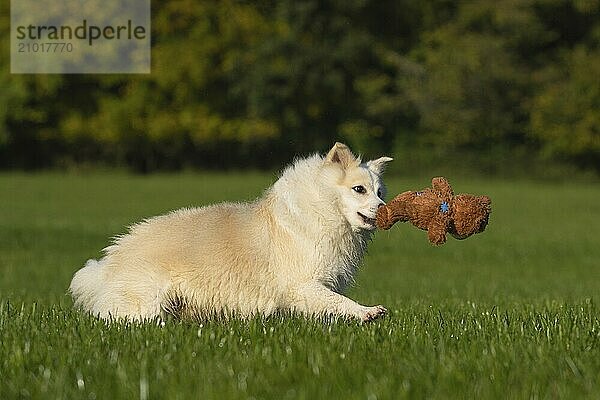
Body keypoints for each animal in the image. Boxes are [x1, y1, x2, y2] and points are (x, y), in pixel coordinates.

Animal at [69, 144, 394, 322]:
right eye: (359, 189)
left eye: (380, 193)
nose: (385, 210)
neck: (323, 208)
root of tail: (106, 263)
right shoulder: (303, 284)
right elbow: (337, 302)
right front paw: (367, 312)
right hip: (146, 303)